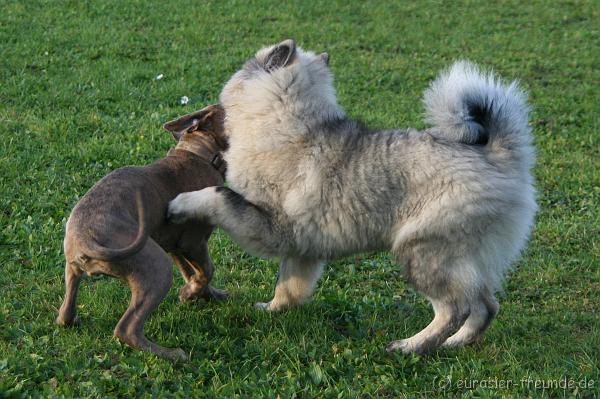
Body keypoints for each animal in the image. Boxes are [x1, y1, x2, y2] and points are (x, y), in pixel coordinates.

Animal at [55, 104, 227, 360]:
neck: (199, 154)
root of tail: (87, 241)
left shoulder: (172, 244)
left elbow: (193, 272)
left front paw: (203, 294)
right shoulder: (193, 242)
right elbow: (206, 270)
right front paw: (189, 294)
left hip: (74, 269)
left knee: (65, 314)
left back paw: (71, 319)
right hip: (155, 265)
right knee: (126, 329)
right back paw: (172, 354)